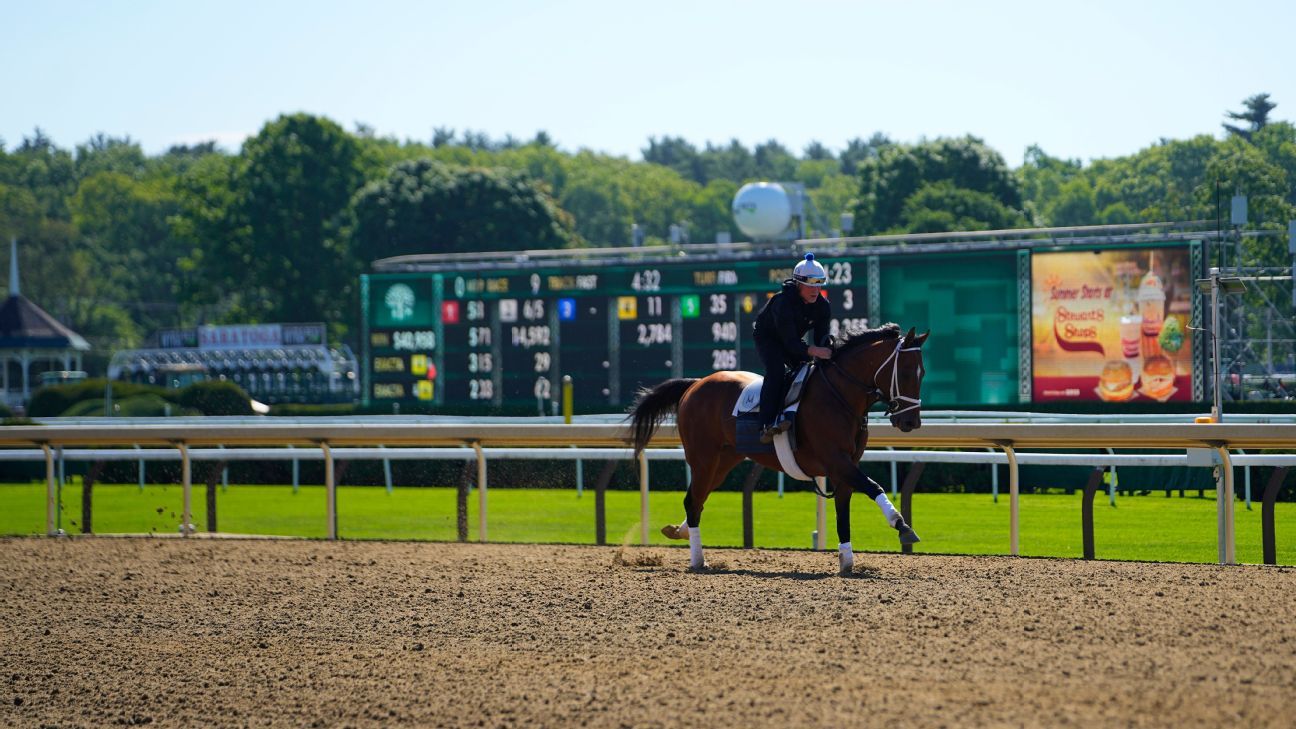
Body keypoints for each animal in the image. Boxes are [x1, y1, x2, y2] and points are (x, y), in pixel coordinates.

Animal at [627, 323, 929, 575]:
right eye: (904, 372)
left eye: (922, 373)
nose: (911, 421)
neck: (839, 396)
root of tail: (695, 384)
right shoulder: (836, 460)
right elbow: (873, 486)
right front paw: (902, 525)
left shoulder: (845, 466)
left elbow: (843, 511)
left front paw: (847, 562)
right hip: (703, 459)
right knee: (692, 501)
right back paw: (698, 559)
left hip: (723, 461)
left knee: (698, 500)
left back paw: (680, 532)